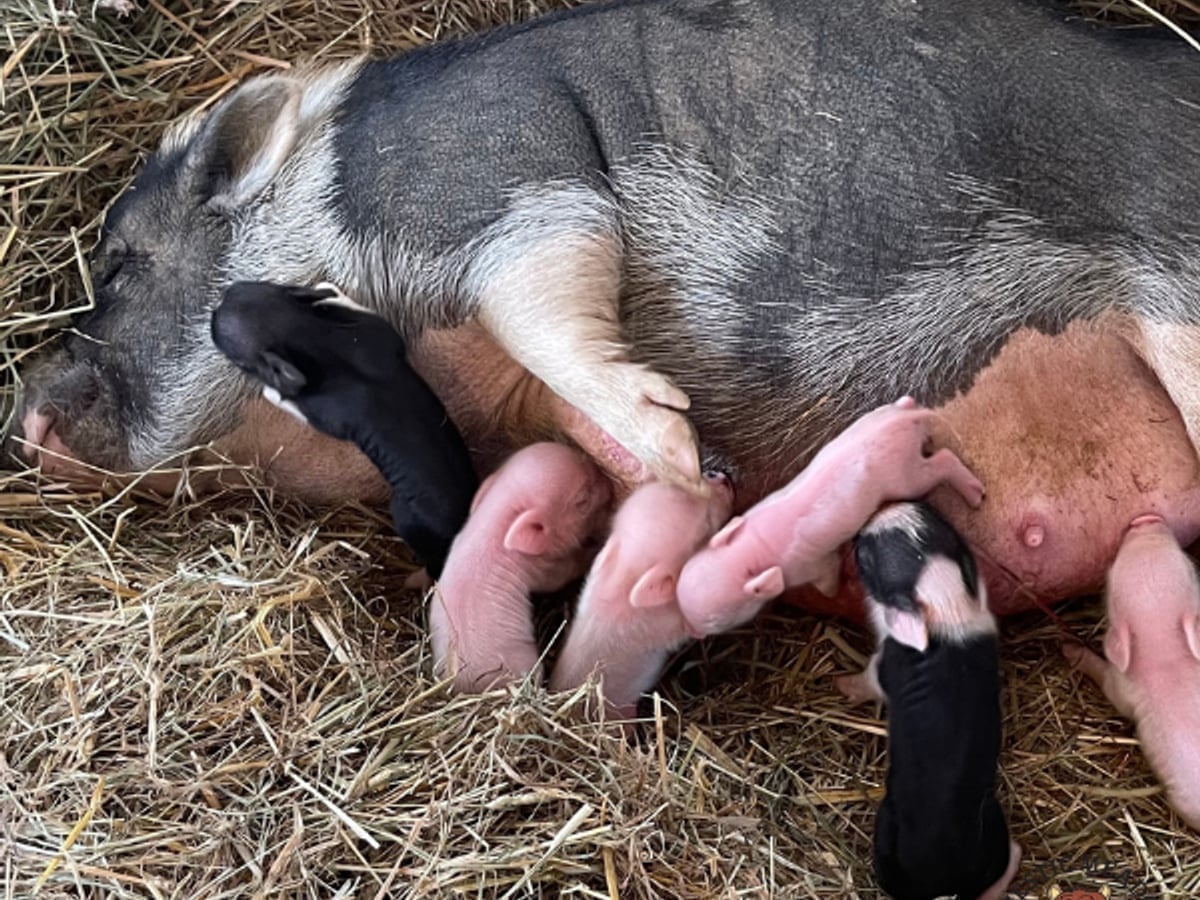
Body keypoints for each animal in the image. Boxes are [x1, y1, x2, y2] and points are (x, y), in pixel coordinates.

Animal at [210, 280, 478, 577]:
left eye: (237, 358)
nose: (219, 296)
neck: (313, 338)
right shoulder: (378, 337)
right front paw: (327, 290)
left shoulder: (329, 416)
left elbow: (292, 404)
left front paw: (270, 389)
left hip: (408, 517)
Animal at [677, 397, 984, 636]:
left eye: (716, 621)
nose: (691, 632)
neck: (752, 549)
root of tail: (906, 416)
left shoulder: (815, 563)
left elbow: (828, 577)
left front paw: (834, 592)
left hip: (907, 477)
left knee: (944, 459)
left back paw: (977, 496)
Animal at [837, 502, 1020, 900]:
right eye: (938, 521)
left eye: (865, 558)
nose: (873, 515)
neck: (947, 607)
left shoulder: (886, 666)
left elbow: (869, 679)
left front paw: (841, 685)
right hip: (992, 823)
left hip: (887, 833)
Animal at [1063, 514, 1200, 831]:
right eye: (1187, 562)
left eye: (1111, 572)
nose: (1146, 518)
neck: (1165, 653)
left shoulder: (1121, 689)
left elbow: (1101, 673)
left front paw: (1068, 649)